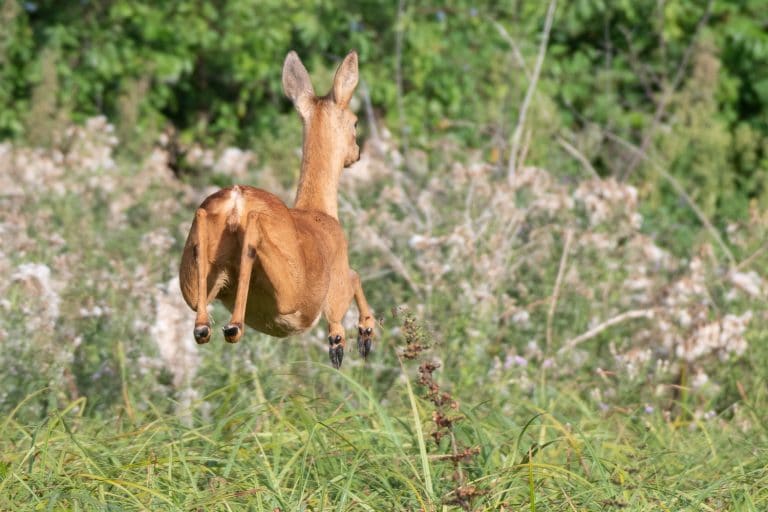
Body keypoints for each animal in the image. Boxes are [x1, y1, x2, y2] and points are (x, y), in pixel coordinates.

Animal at [178, 51, 376, 368]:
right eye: (356, 122)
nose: (357, 154)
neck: (321, 212)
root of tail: (236, 202)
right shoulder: (334, 288)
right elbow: (354, 278)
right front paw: (355, 338)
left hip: (194, 276)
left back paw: (206, 328)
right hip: (289, 292)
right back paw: (233, 326)